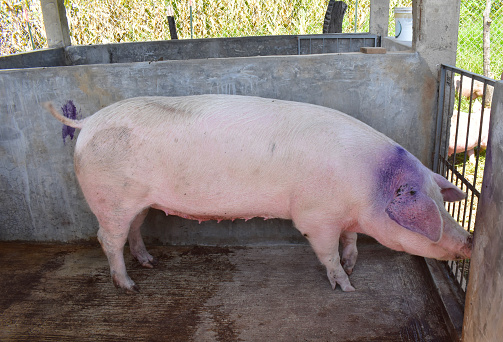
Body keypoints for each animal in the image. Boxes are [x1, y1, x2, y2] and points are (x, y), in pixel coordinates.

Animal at [42, 95, 472, 292]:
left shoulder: (347, 216)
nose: (469, 240)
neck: (368, 189)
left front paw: (352, 266)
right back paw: (129, 286)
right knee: (107, 237)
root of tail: (87, 122)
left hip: (140, 203)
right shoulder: (315, 216)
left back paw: (149, 263)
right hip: (111, 198)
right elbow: (327, 251)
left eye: (441, 200)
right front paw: (347, 286)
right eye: (431, 211)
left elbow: (351, 240)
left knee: (133, 230)